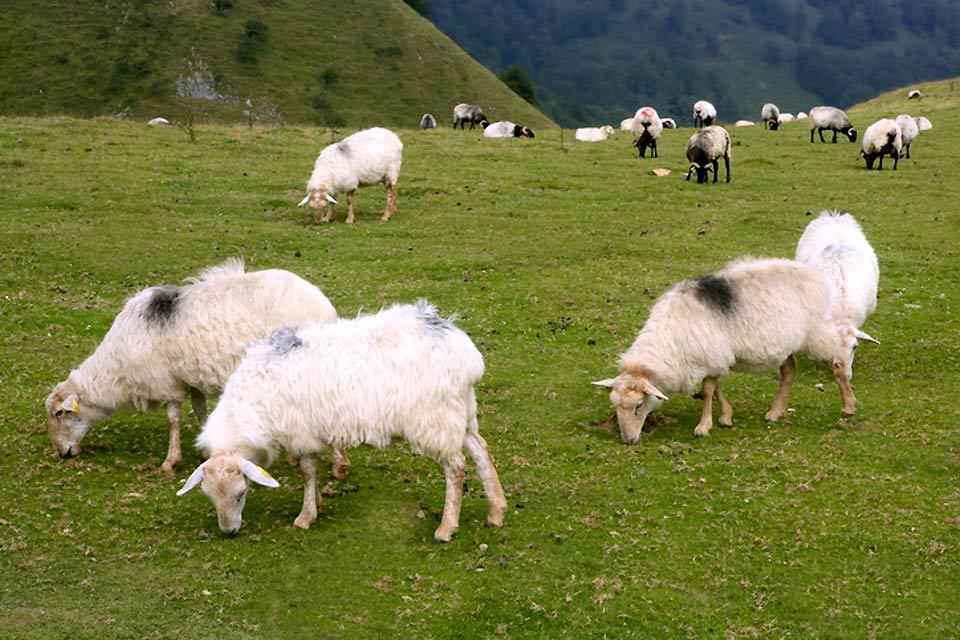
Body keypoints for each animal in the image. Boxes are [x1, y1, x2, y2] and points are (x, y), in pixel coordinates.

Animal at [45, 260, 350, 480]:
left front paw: (170, 462)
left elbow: (173, 420)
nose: (62, 453)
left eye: (60, 414)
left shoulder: (166, 384)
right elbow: (201, 411)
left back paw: (340, 466)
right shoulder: (191, 380)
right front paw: (204, 451)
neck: (116, 369)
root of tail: (324, 305)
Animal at [179, 298, 510, 540]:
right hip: (461, 412)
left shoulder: (302, 433)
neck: (253, 405)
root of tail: (464, 350)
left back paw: (446, 527)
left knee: (456, 467)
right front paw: (316, 502)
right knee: (480, 450)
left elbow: (307, 471)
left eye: (241, 494)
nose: (229, 532)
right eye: (209, 497)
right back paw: (496, 511)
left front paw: (305, 516)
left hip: (435, 419)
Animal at [592, 255, 856, 440]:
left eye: (638, 405)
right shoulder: (712, 357)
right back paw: (775, 412)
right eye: (615, 405)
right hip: (787, 343)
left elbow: (708, 390)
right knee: (789, 371)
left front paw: (703, 426)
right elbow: (715, 388)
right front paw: (726, 416)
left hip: (814, 330)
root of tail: (812, 273)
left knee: (839, 351)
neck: (670, 340)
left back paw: (848, 404)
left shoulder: (712, 355)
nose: (628, 440)